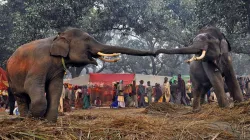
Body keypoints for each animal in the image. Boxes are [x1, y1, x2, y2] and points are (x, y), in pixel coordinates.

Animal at [6, 27, 155, 121]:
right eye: (87, 40)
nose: (155, 52)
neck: (57, 37)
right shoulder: (39, 63)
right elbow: (32, 84)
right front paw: (34, 119)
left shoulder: (57, 68)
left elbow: (55, 88)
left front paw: (48, 122)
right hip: (11, 77)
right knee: (21, 95)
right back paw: (25, 118)